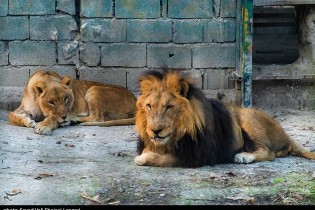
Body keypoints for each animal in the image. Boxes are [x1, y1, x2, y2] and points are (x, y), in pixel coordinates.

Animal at [8, 69, 137, 135]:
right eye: (51, 102)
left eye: (66, 98)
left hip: (93, 89)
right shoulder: (23, 109)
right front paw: (28, 121)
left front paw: (43, 126)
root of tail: (136, 100)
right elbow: (11, 115)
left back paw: (74, 119)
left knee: (98, 118)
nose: (65, 117)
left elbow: (52, 118)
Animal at [134, 69, 315, 168]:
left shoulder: (197, 155)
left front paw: (143, 157)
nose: (155, 131)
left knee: (269, 152)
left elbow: (151, 158)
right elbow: (148, 150)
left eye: (169, 107)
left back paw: (243, 156)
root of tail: (286, 134)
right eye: (149, 106)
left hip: (247, 116)